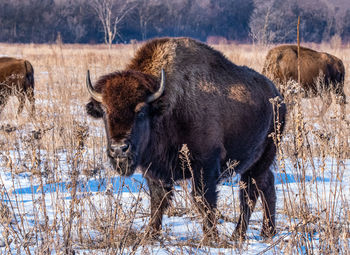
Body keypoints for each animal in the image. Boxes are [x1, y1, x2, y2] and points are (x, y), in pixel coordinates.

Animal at [85, 36, 288, 242]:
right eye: (105, 111)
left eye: (140, 111)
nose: (119, 148)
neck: (166, 106)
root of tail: (277, 96)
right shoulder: (155, 170)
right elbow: (158, 200)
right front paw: (150, 235)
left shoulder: (205, 165)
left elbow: (203, 200)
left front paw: (211, 237)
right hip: (255, 163)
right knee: (265, 185)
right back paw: (265, 232)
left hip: (261, 158)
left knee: (251, 192)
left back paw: (242, 234)